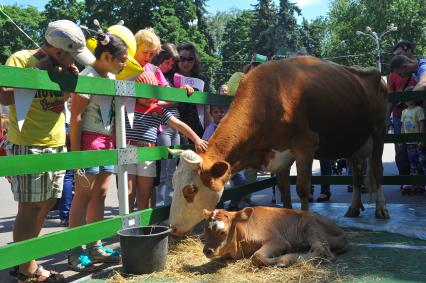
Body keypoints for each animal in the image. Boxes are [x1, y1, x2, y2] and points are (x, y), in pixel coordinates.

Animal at [168, 56, 388, 236]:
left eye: (190, 190)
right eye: (173, 183)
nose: (173, 227)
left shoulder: (306, 144)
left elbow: (302, 188)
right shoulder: (280, 155)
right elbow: (284, 190)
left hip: (379, 131)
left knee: (377, 169)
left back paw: (381, 210)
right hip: (353, 142)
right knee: (357, 173)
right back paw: (353, 208)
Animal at [203, 207, 350, 268]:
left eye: (222, 232)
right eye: (205, 231)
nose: (207, 251)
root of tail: (343, 233)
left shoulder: (279, 241)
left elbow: (256, 257)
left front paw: (283, 260)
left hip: (310, 224)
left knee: (322, 251)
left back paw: (289, 258)